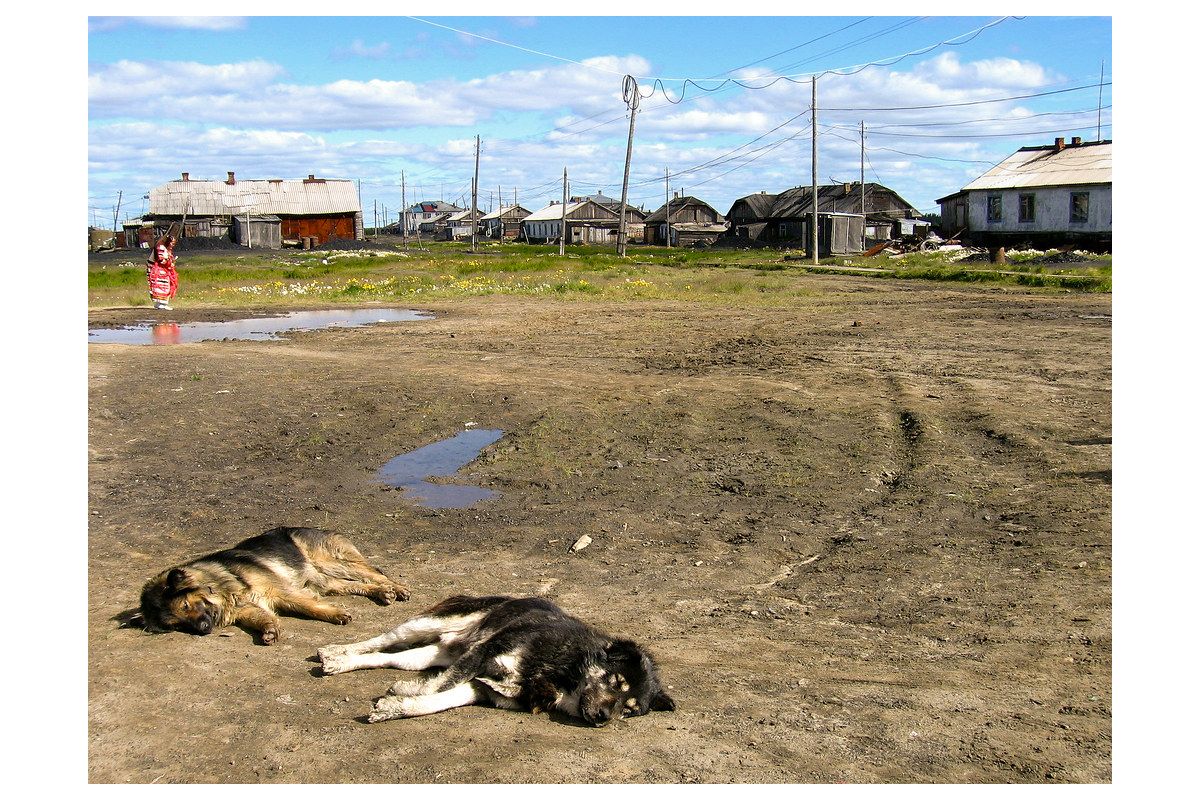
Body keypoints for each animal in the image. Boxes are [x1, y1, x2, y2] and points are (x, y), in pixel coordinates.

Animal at [134, 527, 410, 647]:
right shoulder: (247, 609)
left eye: (185, 605)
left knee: (373, 573)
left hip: (331, 562)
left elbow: (309, 606)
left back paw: (396, 588)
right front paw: (269, 630)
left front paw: (335, 614)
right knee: (357, 585)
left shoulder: (280, 590)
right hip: (325, 580)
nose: (203, 630)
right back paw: (382, 593)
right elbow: (263, 617)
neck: (222, 586)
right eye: (177, 625)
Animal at [316, 594, 676, 724]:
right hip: (430, 623)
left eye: (629, 711)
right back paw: (335, 653)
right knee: (383, 640)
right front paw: (398, 699)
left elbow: (436, 700)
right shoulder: (482, 656)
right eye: (616, 681)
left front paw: (398, 704)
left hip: (436, 653)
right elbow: (439, 688)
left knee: (393, 659)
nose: (604, 717)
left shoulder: (484, 687)